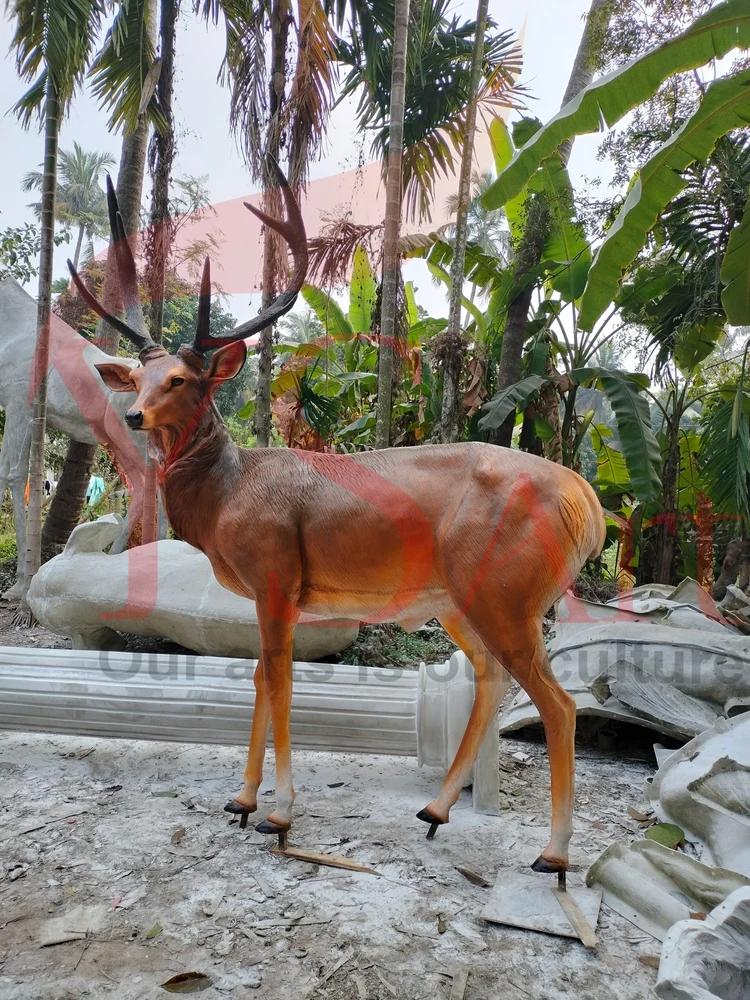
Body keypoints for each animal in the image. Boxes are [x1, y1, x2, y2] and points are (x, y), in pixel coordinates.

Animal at [69, 163, 606, 877]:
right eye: (138, 376)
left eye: (183, 378)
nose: (132, 416)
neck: (230, 492)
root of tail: (586, 503)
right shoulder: (270, 594)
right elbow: (261, 681)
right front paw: (241, 800)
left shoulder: (275, 576)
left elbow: (281, 682)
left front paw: (279, 813)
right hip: (459, 601)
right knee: (493, 682)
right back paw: (435, 812)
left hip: (508, 593)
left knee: (559, 703)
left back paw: (554, 853)